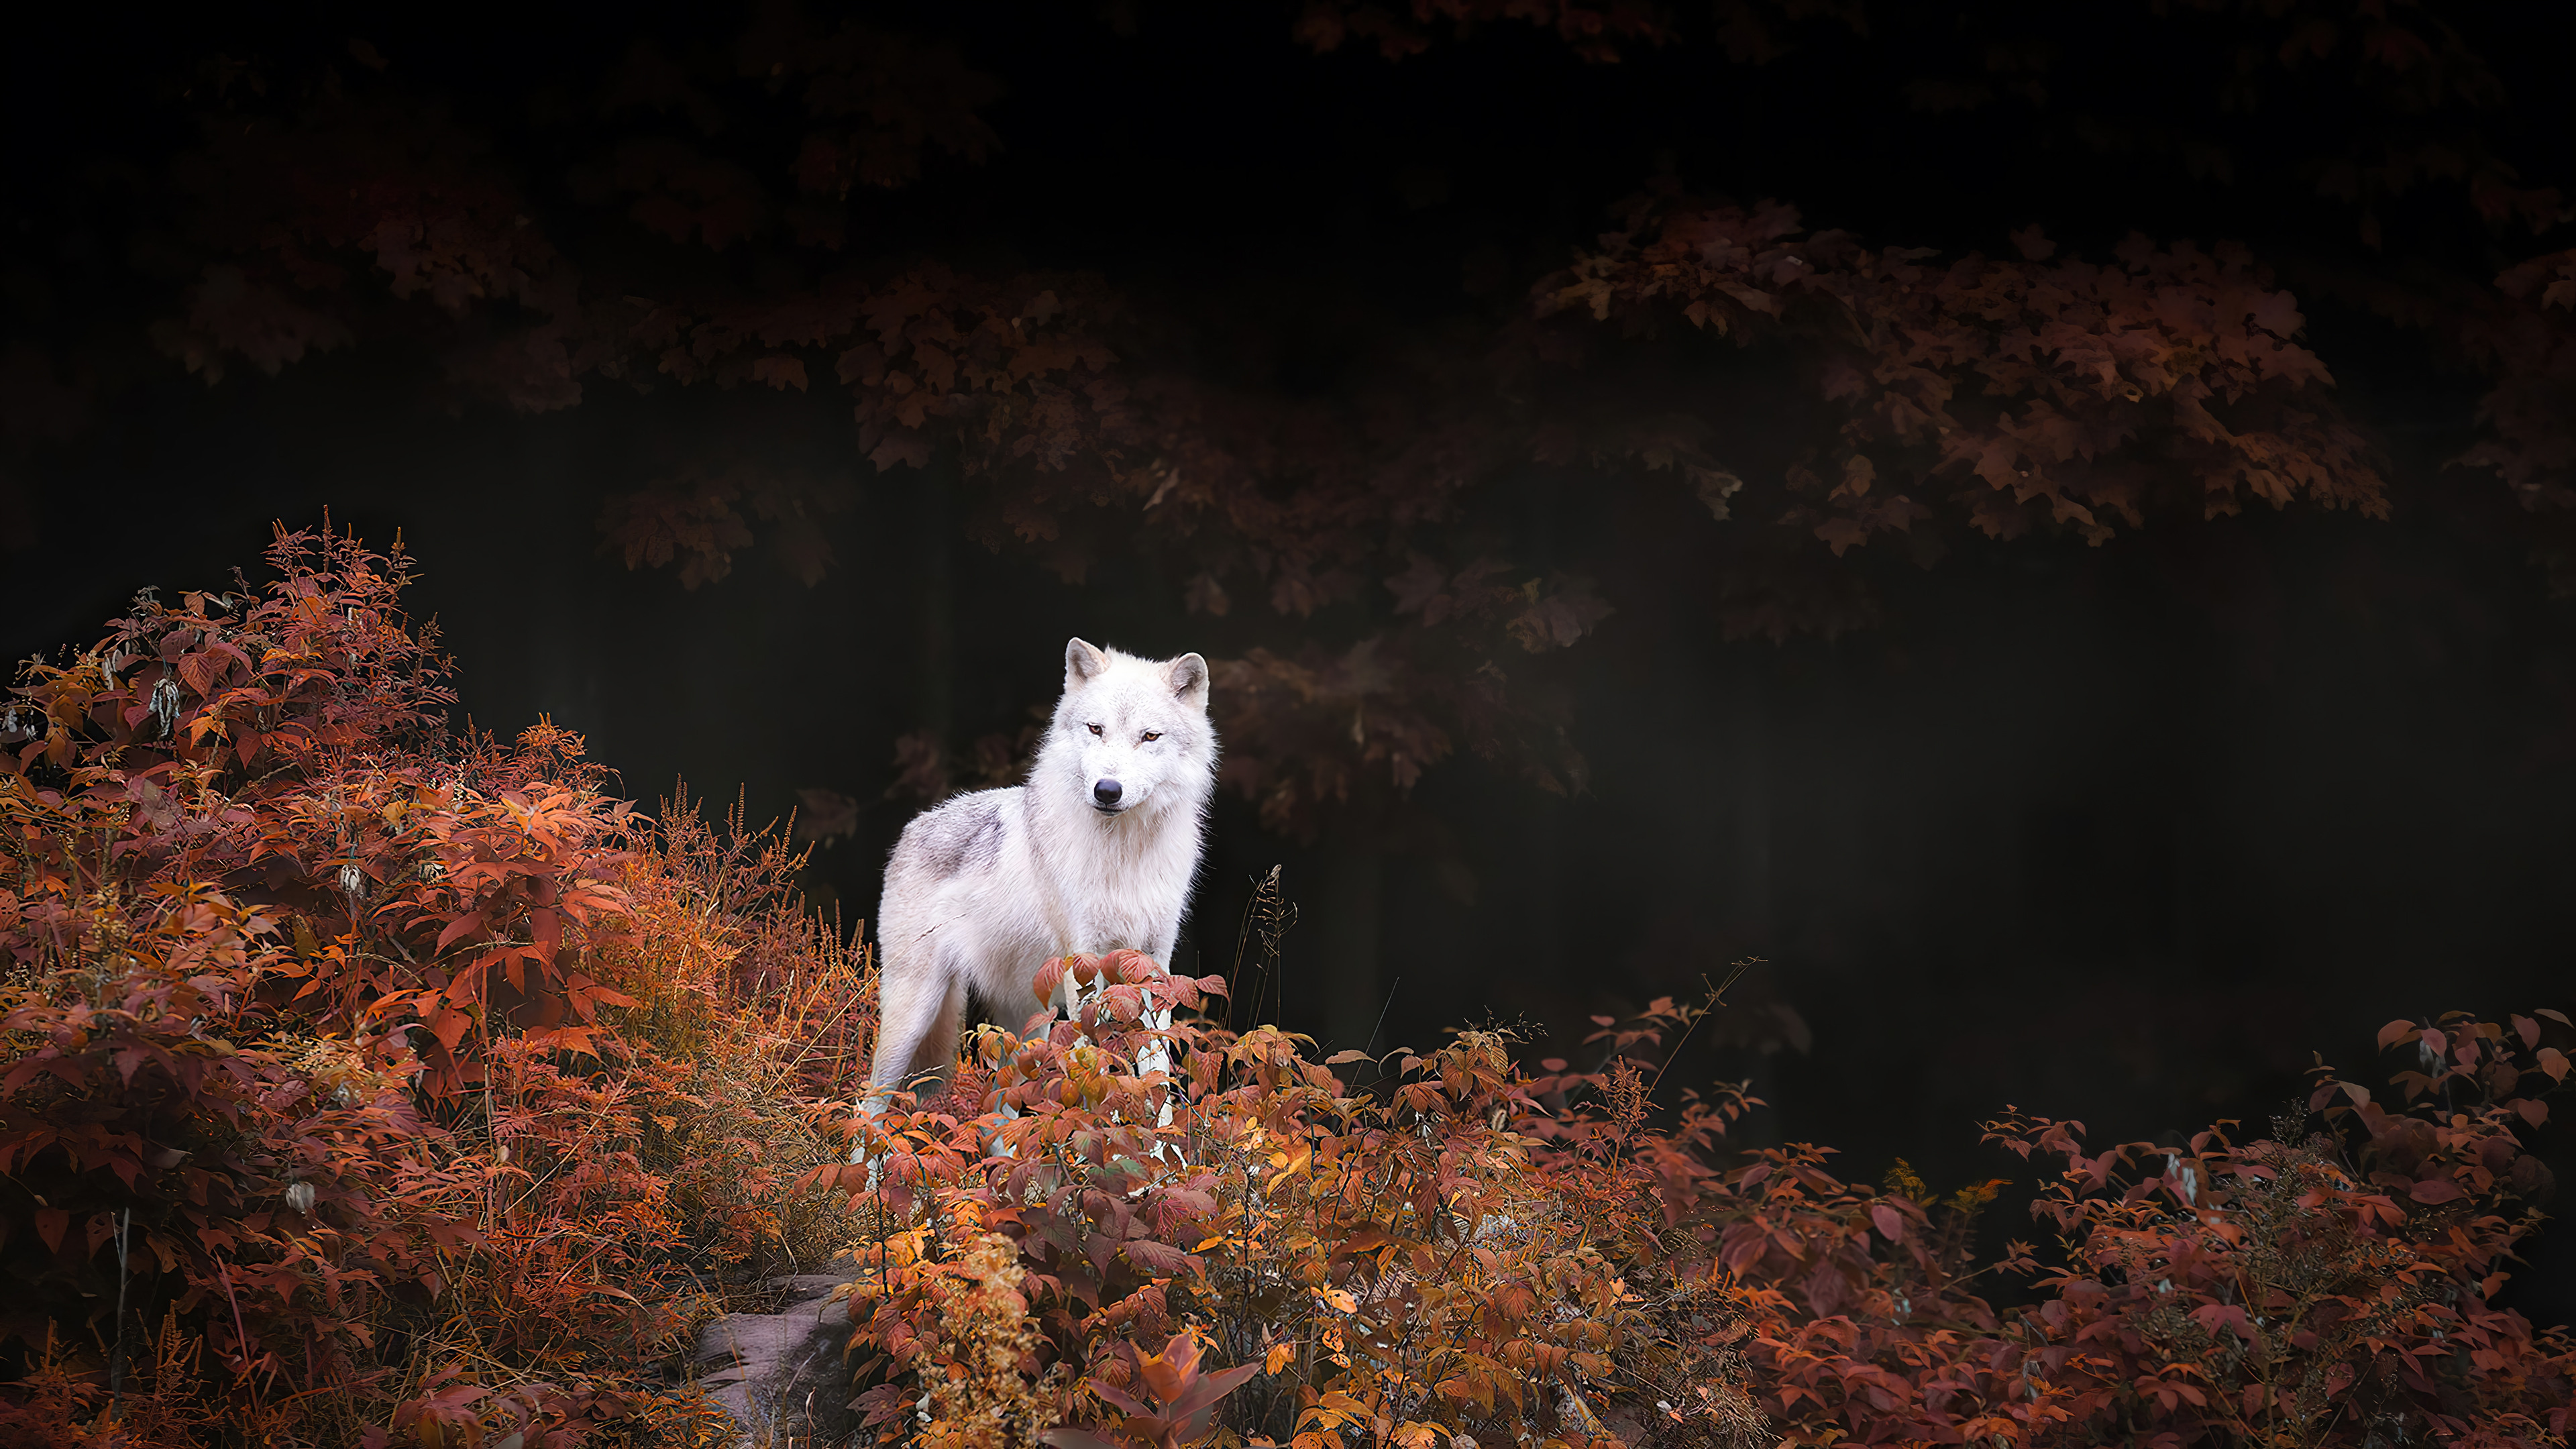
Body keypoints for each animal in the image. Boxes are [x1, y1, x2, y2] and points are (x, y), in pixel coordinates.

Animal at [865, 637, 1215, 1107]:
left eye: (1149, 737)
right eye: (1095, 729)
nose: (1108, 790)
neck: (1122, 855)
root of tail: (914, 825)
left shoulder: (1153, 964)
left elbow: (1155, 1067)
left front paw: (1158, 1130)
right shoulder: (1082, 961)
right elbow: (1095, 1062)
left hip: (1025, 1026)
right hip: (914, 1015)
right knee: (868, 1101)